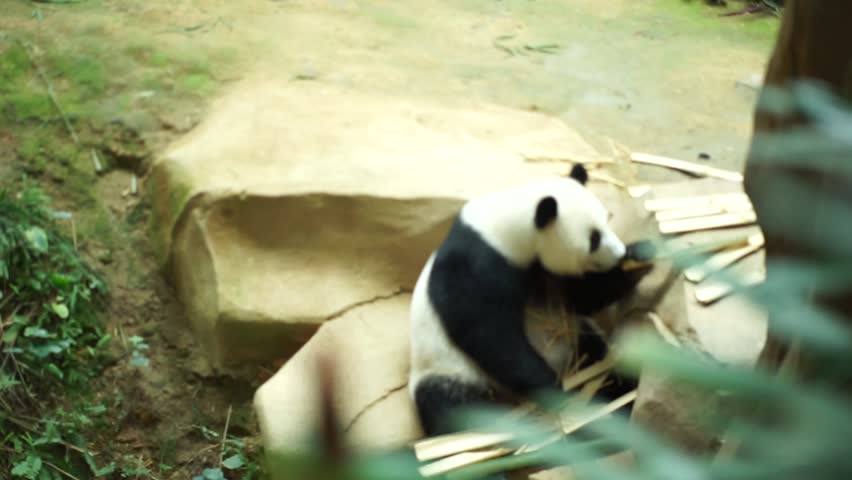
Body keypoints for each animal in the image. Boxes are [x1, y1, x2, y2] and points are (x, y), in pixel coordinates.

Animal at [408, 163, 650, 438]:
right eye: (594, 239)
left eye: (608, 219)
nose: (619, 253)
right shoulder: (476, 265)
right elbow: (488, 333)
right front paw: (550, 388)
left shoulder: (546, 273)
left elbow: (582, 300)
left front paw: (639, 257)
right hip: (447, 370)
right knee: (451, 407)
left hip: (577, 340)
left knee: (600, 359)